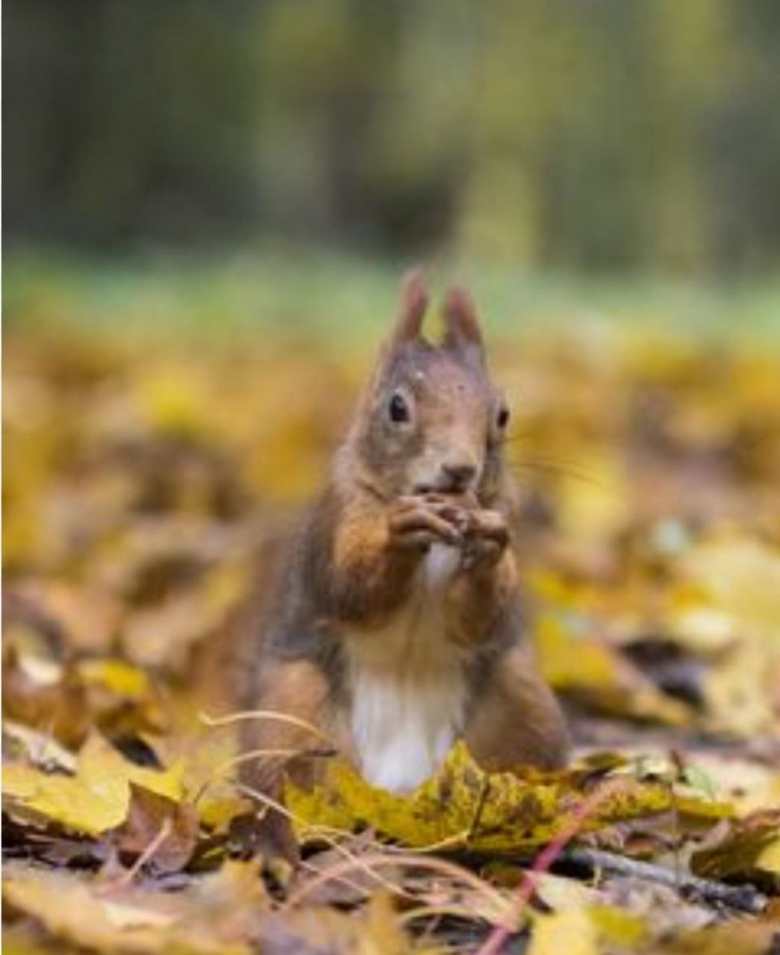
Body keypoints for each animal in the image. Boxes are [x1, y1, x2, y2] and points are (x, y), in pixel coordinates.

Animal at [236, 272, 568, 812]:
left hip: (523, 705)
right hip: (291, 712)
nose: (460, 469)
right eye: (396, 407)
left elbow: (478, 617)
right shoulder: (338, 514)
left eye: (503, 414)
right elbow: (350, 586)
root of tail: (400, 790)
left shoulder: (504, 513)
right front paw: (400, 531)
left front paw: (489, 547)